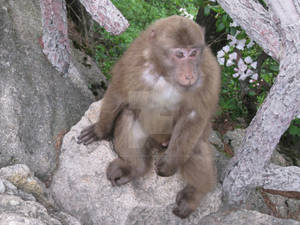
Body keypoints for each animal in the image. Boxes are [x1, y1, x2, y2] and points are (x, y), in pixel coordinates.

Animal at [78, 15, 220, 218]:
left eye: (193, 53)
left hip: (172, 143)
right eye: (179, 54)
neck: (166, 74)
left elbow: (194, 116)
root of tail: (157, 144)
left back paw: (195, 193)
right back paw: (132, 168)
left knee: (195, 146)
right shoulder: (134, 58)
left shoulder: (209, 73)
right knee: (128, 115)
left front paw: (168, 166)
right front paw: (99, 131)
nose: (190, 74)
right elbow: (119, 93)